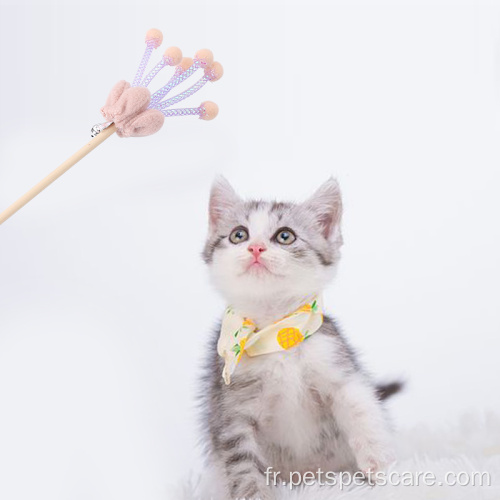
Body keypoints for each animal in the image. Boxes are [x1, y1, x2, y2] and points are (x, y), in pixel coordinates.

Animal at [201, 177, 400, 500]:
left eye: (285, 236)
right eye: (238, 235)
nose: (255, 248)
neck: (277, 333)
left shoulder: (335, 361)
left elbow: (360, 407)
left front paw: (380, 465)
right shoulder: (230, 407)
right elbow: (241, 459)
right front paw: (253, 493)